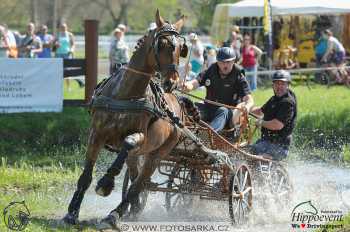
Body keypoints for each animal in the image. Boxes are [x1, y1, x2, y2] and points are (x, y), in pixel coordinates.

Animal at [63, 10, 191, 228]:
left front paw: (105, 183)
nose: (172, 82)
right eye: (162, 44)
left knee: (138, 184)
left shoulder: (140, 137)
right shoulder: (96, 135)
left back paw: (115, 214)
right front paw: (72, 213)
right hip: (137, 155)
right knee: (134, 177)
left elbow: (129, 142)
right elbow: (86, 176)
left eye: (181, 48)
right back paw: (133, 209)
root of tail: (178, 107)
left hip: (157, 154)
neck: (125, 95)